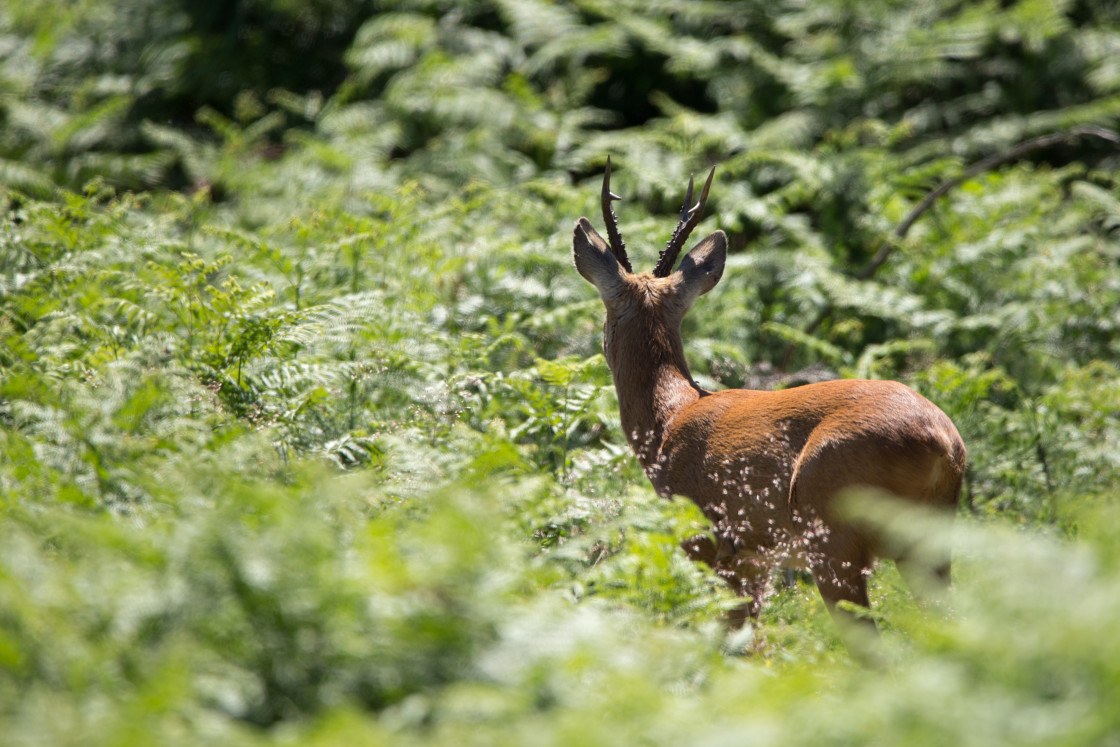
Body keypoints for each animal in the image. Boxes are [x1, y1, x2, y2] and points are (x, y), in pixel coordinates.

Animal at [573, 157, 967, 631]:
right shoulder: (755, 560)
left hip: (833, 535)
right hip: (929, 544)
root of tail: (942, 441)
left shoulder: (710, 541)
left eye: (607, 317)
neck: (670, 420)